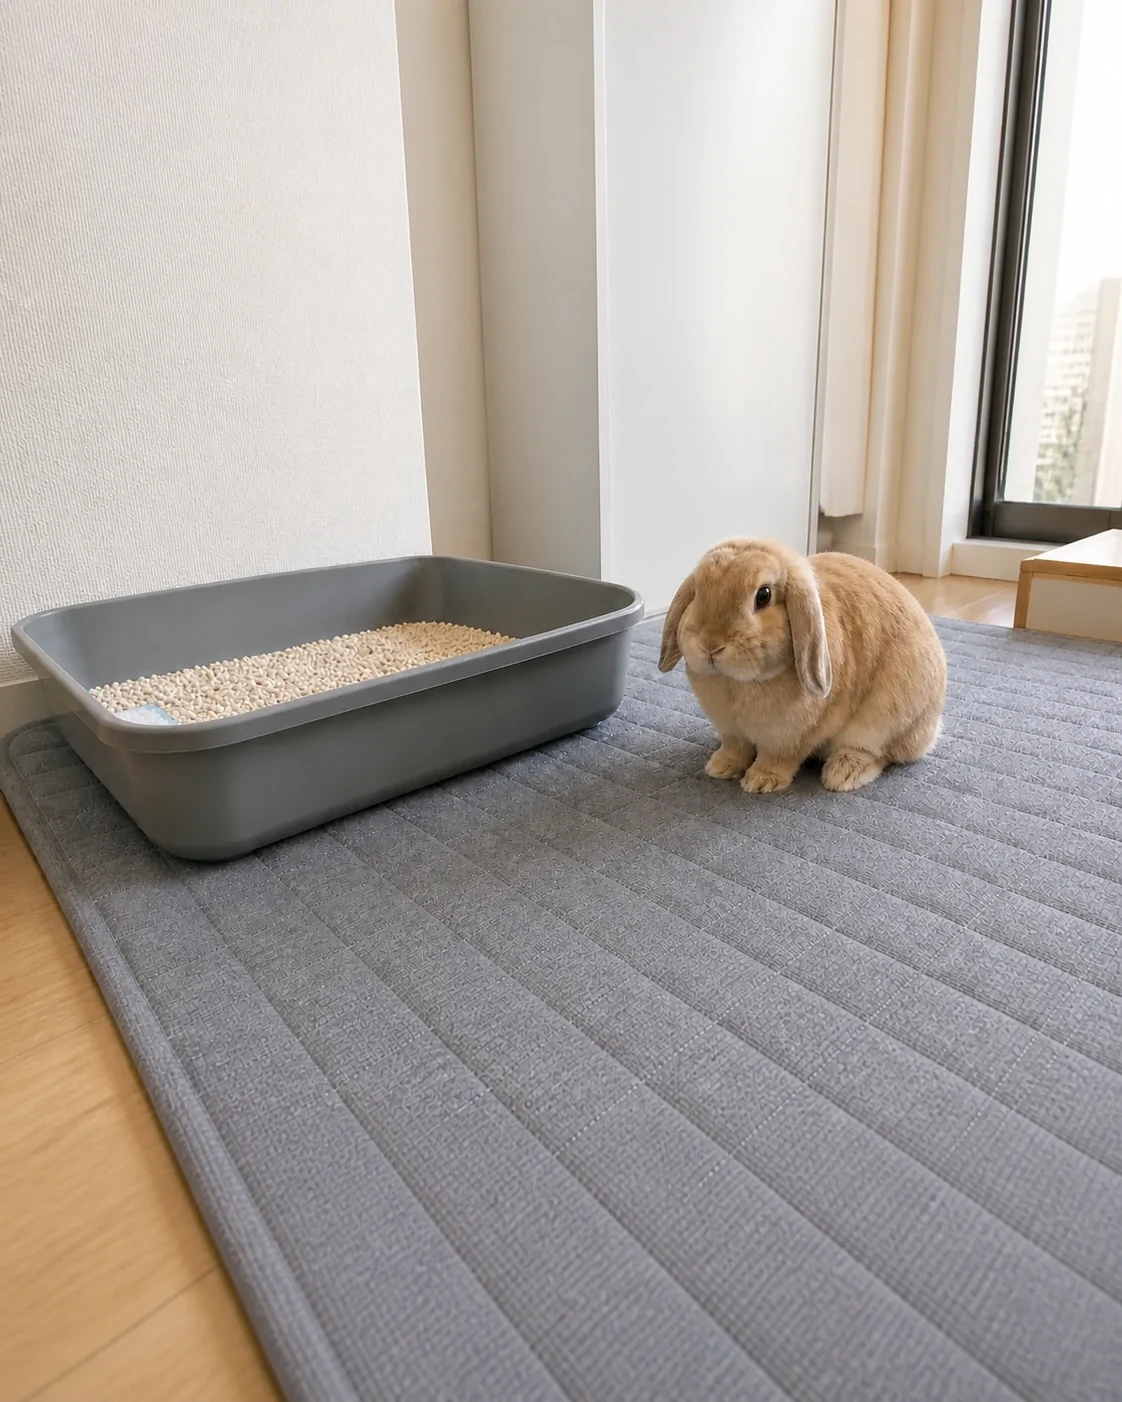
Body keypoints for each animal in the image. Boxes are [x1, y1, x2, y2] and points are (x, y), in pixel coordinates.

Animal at [658, 539, 947, 794]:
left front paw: (761, 781)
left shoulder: (791, 736)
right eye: (698, 592)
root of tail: (931, 730)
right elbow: (735, 748)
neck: (737, 683)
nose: (711, 645)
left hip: (887, 719)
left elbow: (779, 757)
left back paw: (843, 774)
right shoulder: (733, 730)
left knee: (878, 752)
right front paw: (720, 767)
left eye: (763, 596)